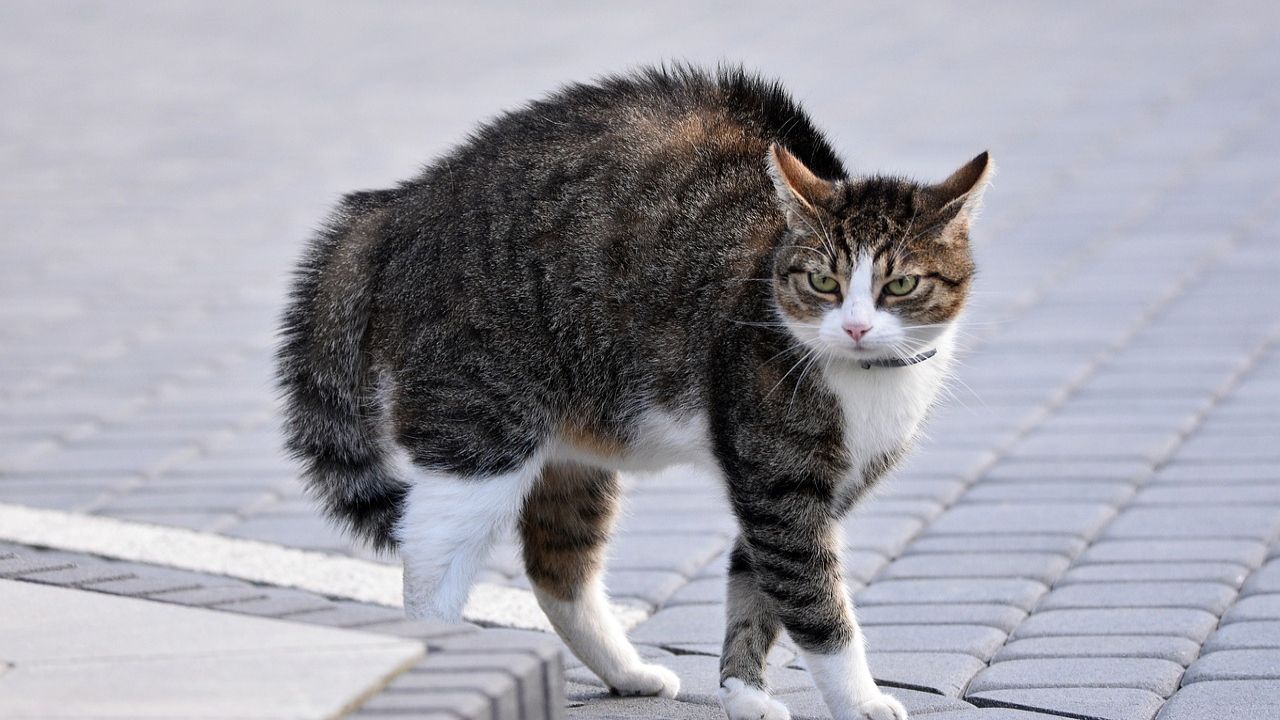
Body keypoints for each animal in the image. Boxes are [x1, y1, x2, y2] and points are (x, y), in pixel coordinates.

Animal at [280, 65, 988, 717]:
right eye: (822, 281)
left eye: (900, 286)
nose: (856, 326)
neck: (865, 381)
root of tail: (405, 200)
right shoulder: (778, 485)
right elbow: (817, 606)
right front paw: (860, 698)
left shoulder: (803, 491)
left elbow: (756, 587)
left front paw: (742, 691)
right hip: (482, 430)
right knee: (432, 556)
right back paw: (447, 652)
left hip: (572, 448)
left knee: (557, 568)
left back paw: (625, 671)